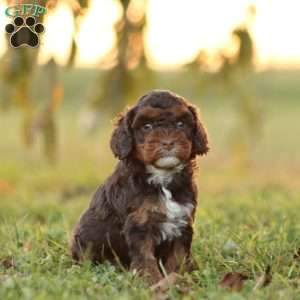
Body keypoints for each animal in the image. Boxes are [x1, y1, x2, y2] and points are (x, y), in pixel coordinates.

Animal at [70, 89, 209, 284]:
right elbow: (144, 256)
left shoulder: (182, 221)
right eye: (147, 126)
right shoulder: (139, 224)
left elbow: (178, 255)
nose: (168, 142)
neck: (162, 178)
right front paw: (151, 280)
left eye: (181, 124)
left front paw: (178, 276)